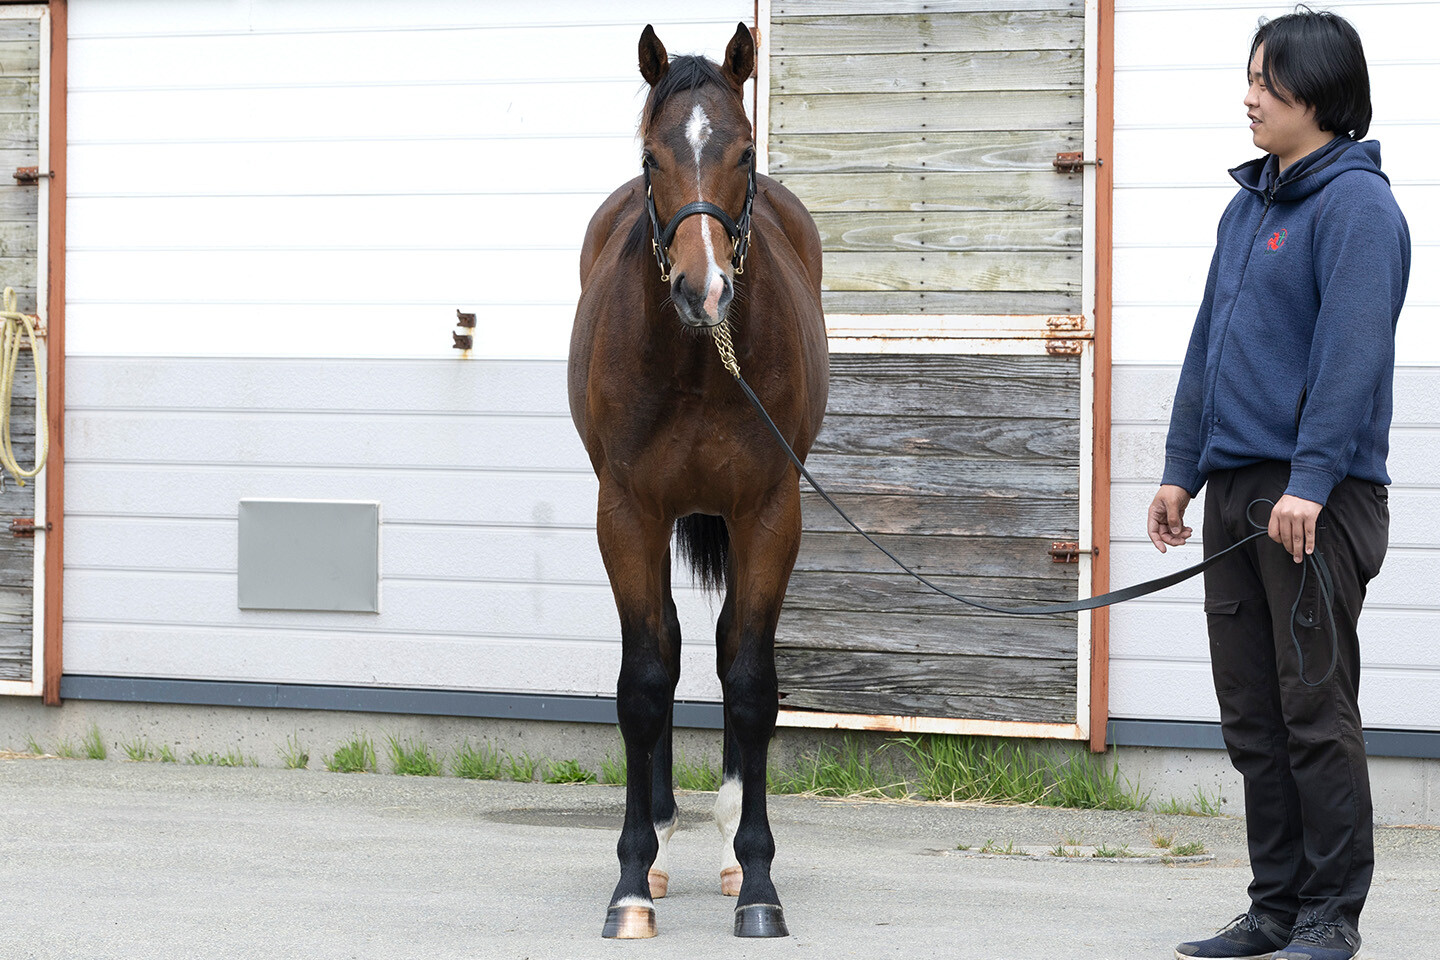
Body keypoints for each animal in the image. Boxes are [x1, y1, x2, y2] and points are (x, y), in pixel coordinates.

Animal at [567, 22, 828, 941]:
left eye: (743, 152)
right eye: (652, 156)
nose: (701, 288)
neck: (699, 364)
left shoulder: (769, 513)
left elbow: (748, 683)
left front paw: (758, 883)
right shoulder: (626, 514)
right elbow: (645, 683)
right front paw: (630, 884)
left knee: (718, 651)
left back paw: (722, 852)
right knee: (673, 649)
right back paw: (664, 844)